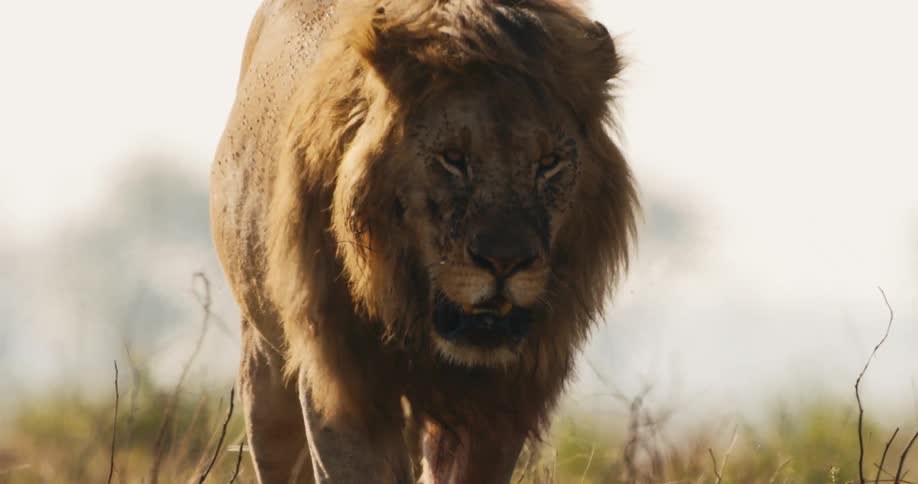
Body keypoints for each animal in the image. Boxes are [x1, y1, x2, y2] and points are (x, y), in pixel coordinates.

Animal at [210, 0, 637, 482]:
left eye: (549, 163)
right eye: (453, 159)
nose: (505, 263)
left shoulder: (500, 401)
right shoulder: (342, 379)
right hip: (264, 362)